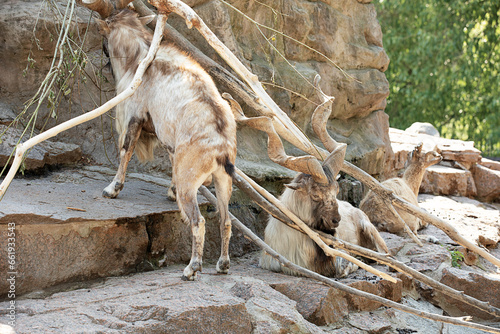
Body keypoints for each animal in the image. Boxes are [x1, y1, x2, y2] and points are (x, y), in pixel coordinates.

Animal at [99, 10, 238, 280]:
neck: (142, 57)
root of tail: (221, 146)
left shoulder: (135, 114)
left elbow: (126, 150)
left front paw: (112, 189)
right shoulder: (171, 142)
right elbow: (170, 159)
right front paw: (169, 192)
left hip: (190, 182)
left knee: (198, 221)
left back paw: (192, 268)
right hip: (223, 181)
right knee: (225, 220)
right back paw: (223, 265)